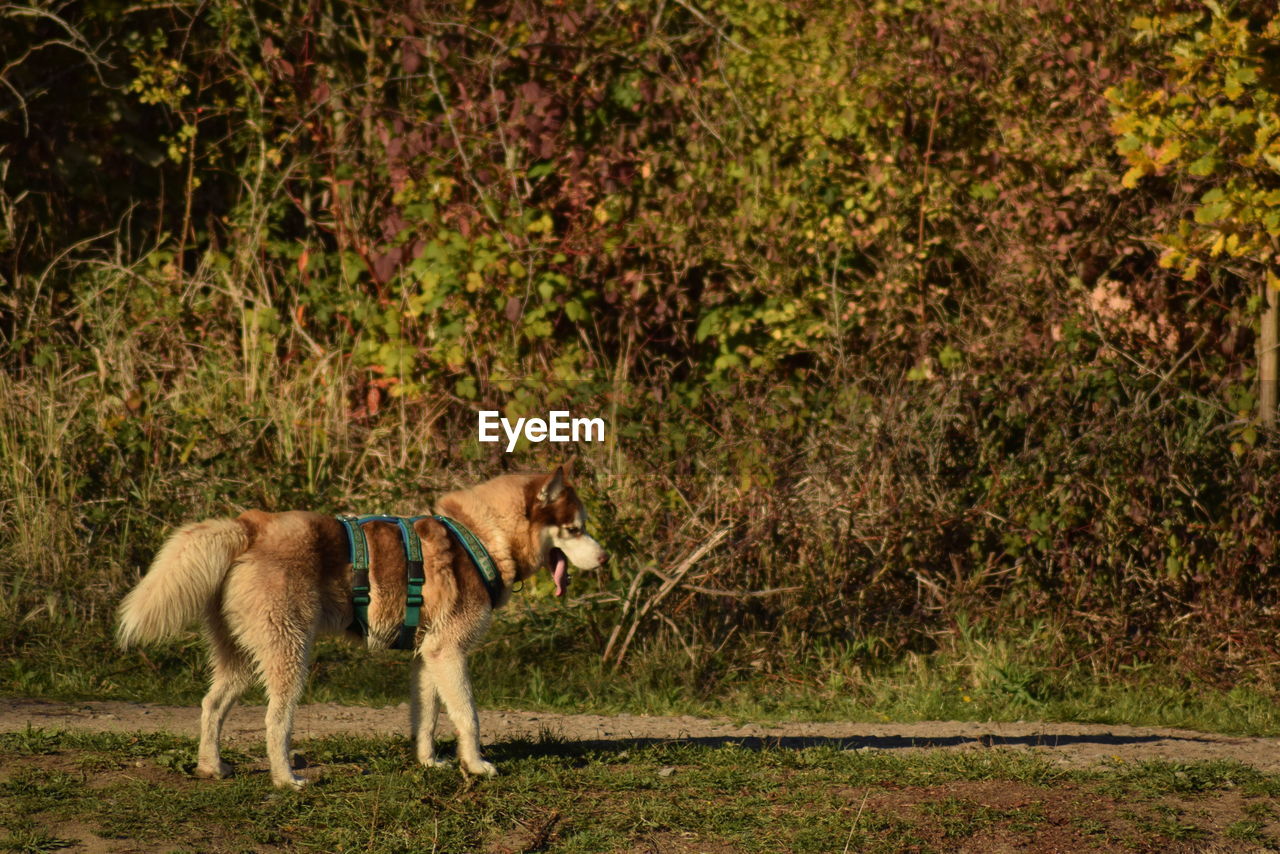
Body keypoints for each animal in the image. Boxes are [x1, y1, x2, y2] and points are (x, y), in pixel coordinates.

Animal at [115, 468, 604, 788]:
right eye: (574, 528)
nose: (604, 558)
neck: (482, 536)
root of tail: (250, 524)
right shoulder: (449, 654)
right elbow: (468, 716)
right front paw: (477, 766)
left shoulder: (428, 659)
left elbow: (427, 719)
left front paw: (428, 763)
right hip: (291, 654)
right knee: (276, 720)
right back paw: (285, 779)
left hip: (239, 659)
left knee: (211, 705)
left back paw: (211, 767)